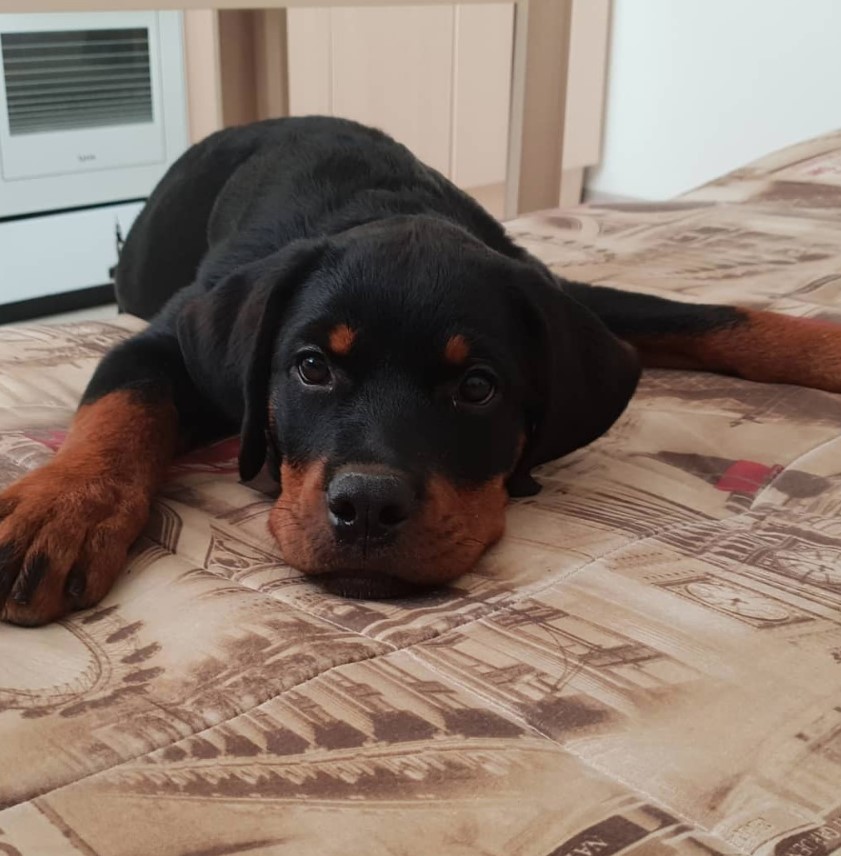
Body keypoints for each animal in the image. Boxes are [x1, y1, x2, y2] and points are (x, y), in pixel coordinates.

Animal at [1, 113, 840, 624]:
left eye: (477, 388)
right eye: (311, 368)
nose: (367, 508)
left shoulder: (565, 296)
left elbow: (714, 318)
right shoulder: (162, 340)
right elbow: (123, 408)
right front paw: (59, 510)